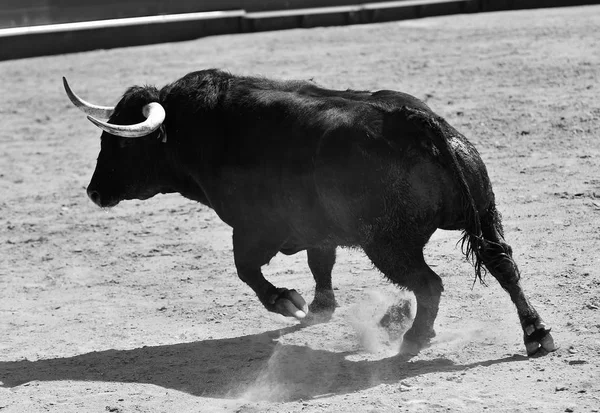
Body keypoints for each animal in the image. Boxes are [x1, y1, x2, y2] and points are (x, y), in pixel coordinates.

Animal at [63, 70, 556, 354]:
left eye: (121, 144)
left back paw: (414, 336)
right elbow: (322, 263)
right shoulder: (319, 230)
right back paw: (536, 334)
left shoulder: (254, 229)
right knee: (502, 265)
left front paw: (289, 302)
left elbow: (246, 269)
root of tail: (413, 121)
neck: (197, 129)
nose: (94, 192)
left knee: (429, 283)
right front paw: (320, 307)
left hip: (388, 244)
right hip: (484, 214)